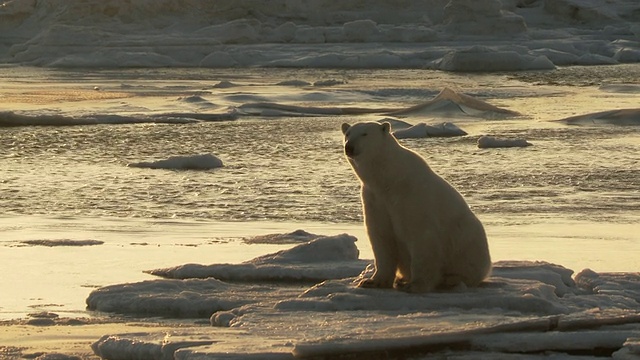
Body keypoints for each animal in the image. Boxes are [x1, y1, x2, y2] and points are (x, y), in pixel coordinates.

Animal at [342, 121, 492, 292]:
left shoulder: (412, 196)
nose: (349, 147)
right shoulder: (374, 199)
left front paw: (415, 284)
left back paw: (451, 279)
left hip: (468, 242)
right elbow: (381, 236)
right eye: (348, 133)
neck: (389, 180)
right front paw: (372, 281)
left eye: (365, 133)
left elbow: (421, 236)